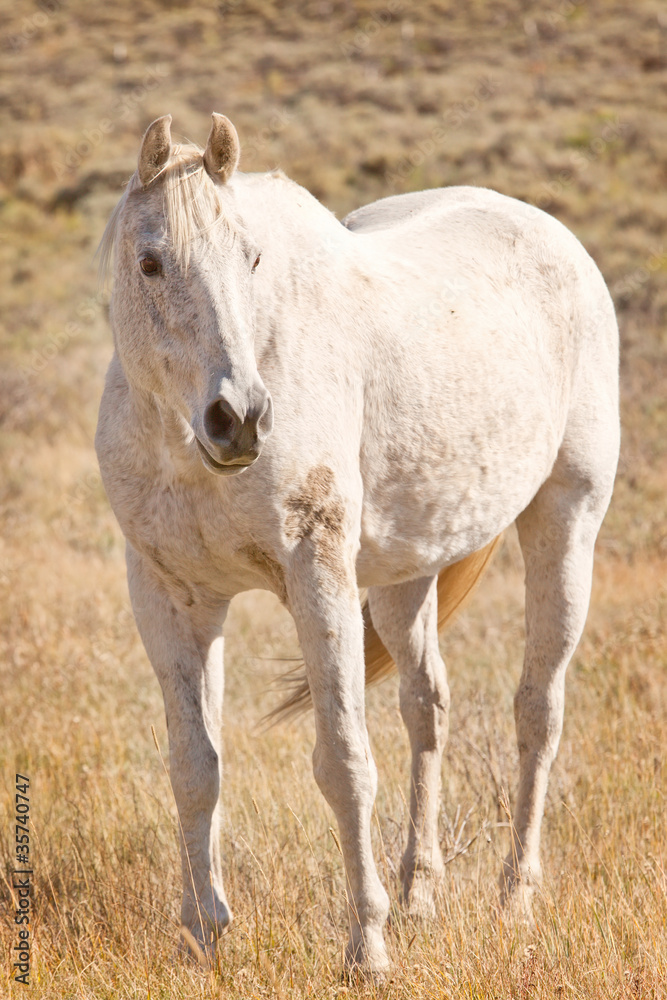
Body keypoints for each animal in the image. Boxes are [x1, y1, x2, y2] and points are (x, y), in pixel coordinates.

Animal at [95, 115, 620, 976]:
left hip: (566, 518)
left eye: (252, 259)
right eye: (149, 262)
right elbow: (193, 767)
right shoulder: (172, 598)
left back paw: (513, 900)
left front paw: (365, 947)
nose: (238, 419)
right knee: (426, 706)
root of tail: (554, 235)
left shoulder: (317, 577)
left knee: (537, 711)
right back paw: (419, 893)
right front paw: (202, 934)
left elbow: (342, 762)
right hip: (408, 571)